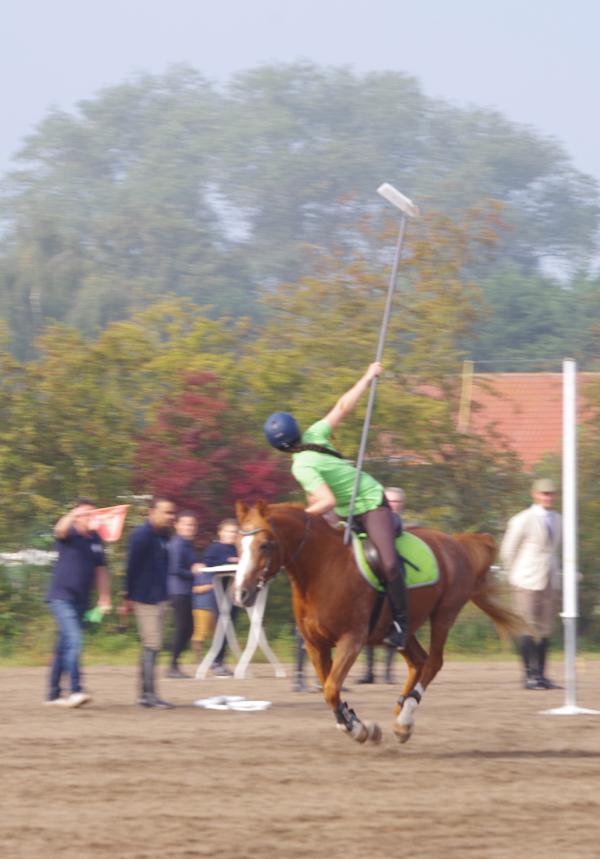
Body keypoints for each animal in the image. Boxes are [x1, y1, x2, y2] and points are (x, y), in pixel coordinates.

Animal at [232, 500, 524, 744]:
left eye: (264, 544)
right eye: (237, 545)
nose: (241, 593)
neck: (323, 568)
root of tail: (456, 542)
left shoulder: (352, 640)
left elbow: (331, 688)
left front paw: (358, 729)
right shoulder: (316, 644)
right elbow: (329, 690)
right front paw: (355, 723)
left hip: (444, 614)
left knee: (433, 662)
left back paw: (404, 719)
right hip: (400, 630)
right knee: (418, 661)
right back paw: (400, 710)